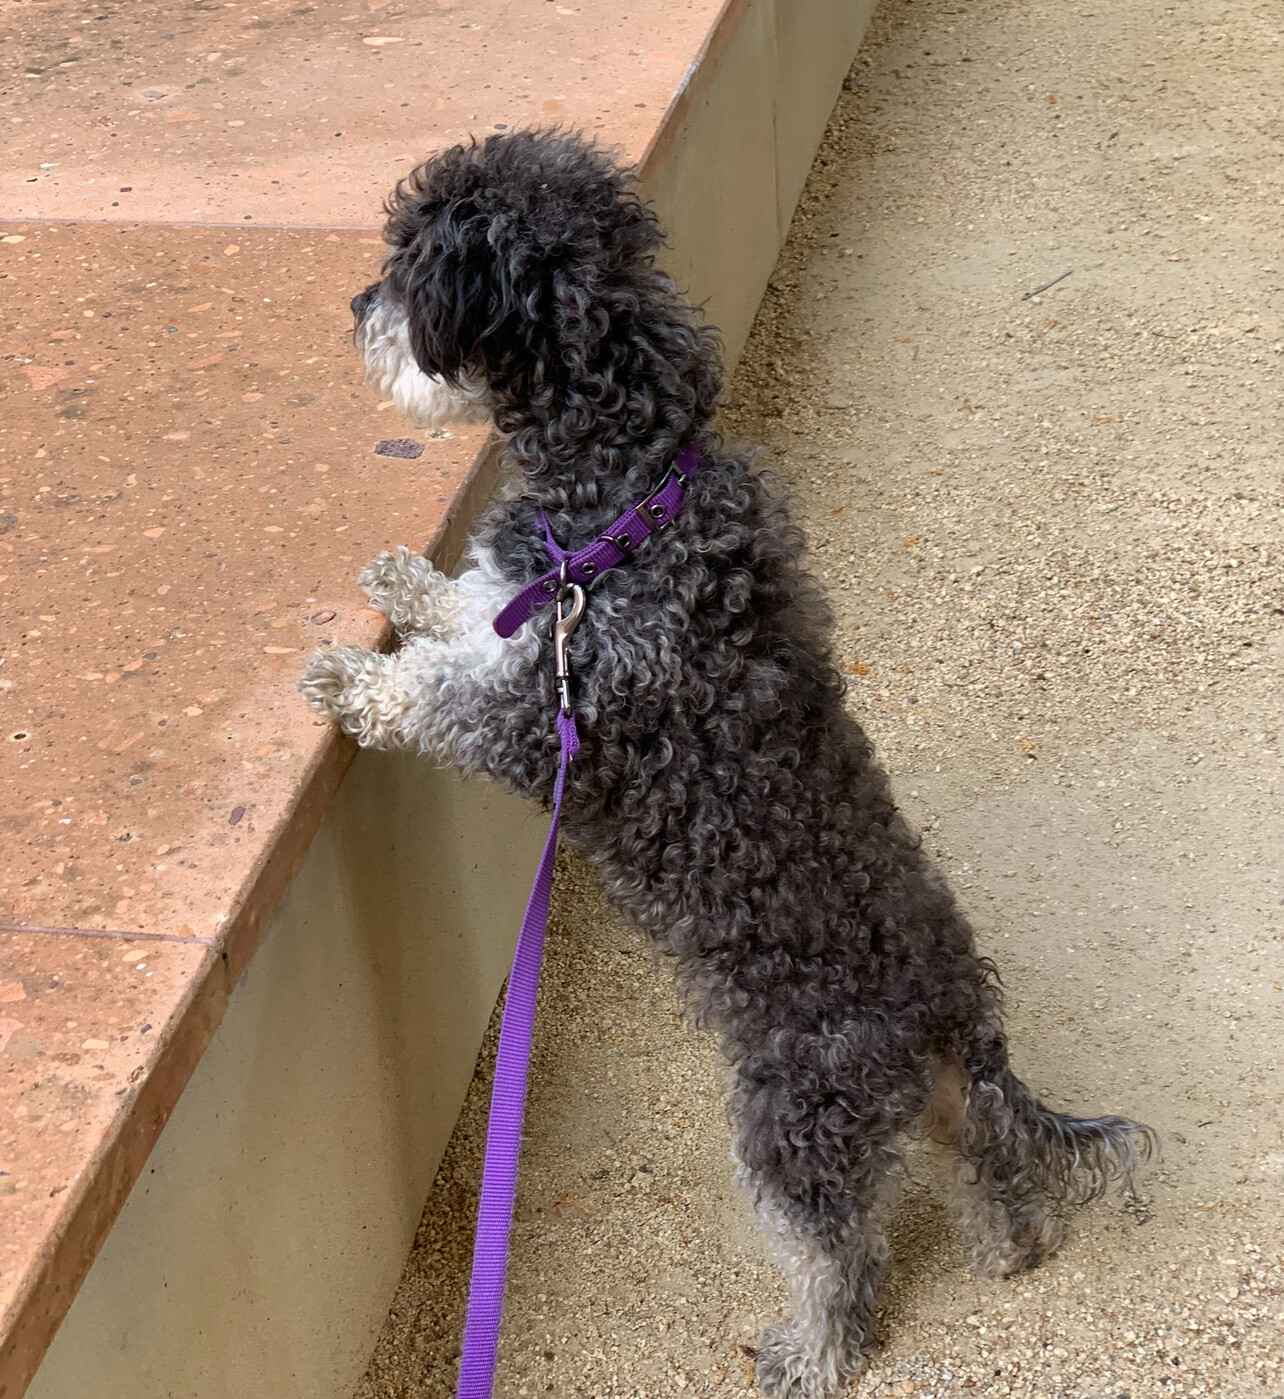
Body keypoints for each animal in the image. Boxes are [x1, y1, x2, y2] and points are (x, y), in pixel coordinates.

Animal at [299, 130, 1153, 1399]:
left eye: (413, 266)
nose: (357, 305)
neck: (632, 493)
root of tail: (951, 1017)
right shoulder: (534, 618)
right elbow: (467, 605)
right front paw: (404, 579)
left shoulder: (545, 715)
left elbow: (438, 690)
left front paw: (350, 680)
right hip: (928, 1114)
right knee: (991, 1167)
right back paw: (1008, 1245)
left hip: (792, 1123)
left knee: (842, 1255)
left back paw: (812, 1349)